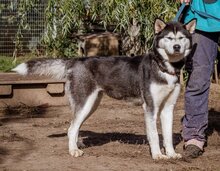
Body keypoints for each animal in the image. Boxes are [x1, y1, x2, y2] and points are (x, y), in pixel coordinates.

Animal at [12, 19, 196, 160]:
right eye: (169, 38)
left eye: (181, 38)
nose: (177, 47)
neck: (164, 68)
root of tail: (76, 60)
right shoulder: (150, 108)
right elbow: (154, 136)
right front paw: (157, 155)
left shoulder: (168, 109)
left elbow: (168, 136)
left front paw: (171, 154)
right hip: (85, 104)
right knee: (71, 128)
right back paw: (73, 151)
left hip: (91, 105)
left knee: (75, 128)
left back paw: (77, 145)